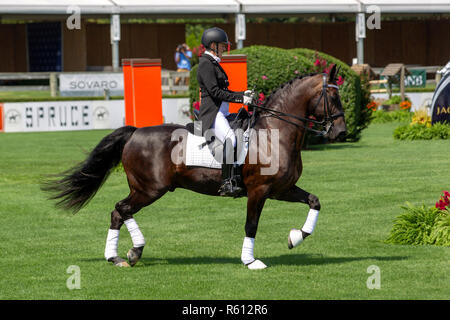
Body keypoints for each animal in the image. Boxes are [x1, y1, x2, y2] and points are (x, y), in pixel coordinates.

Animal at [42, 64, 346, 270]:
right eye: (333, 98)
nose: (341, 132)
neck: (275, 132)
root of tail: (135, 132)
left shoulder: (281, 189)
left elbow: (315, 201)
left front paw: (296, 237)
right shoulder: (258, 190)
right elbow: (251, 225)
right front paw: (250, 261)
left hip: (145, 189)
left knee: (118, 212)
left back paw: (116, 257)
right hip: (149, 189)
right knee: (121, 208)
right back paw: (134, 251)